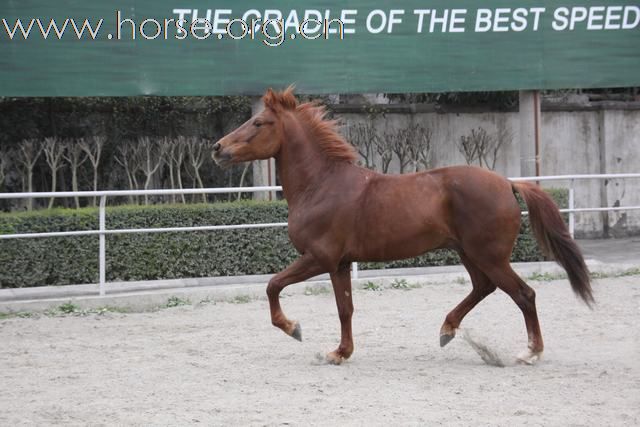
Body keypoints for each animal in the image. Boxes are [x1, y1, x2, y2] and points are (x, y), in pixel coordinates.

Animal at [212, 88, 592, 366]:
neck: (321, 185)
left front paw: (295, 329)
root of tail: (508, 183)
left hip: (489, 256)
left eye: (259, 122)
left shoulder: (319, 257)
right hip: (469, 253)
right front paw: (340, 352)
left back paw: (529, 352)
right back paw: (447, 330)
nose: (217, 148)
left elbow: (273, 285)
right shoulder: (340, 264)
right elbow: (345, 308)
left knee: (523, 294)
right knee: (483, 287)